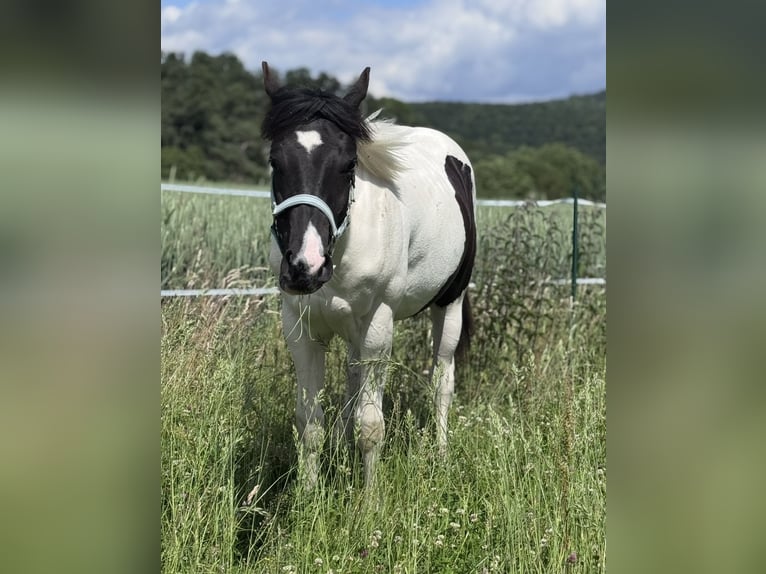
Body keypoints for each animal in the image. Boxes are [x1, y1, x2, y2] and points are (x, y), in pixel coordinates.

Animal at [261, 62, 476, 488]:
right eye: (276, 161)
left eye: (348, 164)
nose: (305, 267)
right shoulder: (300, 327)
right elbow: (309, 422)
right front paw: (308, 496)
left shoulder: (378, 327)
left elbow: (371, 426)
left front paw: (369, 498)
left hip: (449, 305)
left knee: (442, 381)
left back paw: (441, 456)